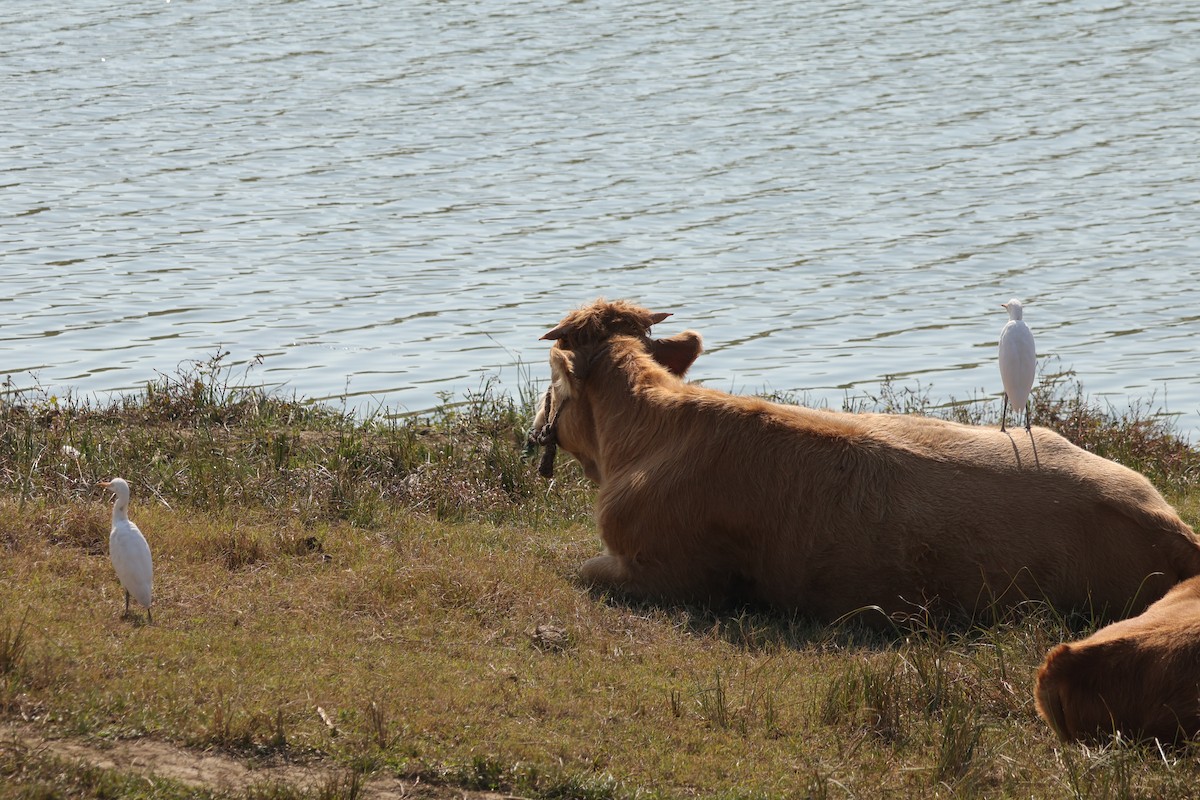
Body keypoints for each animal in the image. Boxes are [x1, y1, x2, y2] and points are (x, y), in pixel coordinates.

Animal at [527, 299, 1200, 625]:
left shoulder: (659, 573)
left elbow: (578, 573)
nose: (536, 434)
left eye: (552, 381)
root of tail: (1169, 521)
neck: (649, 434)